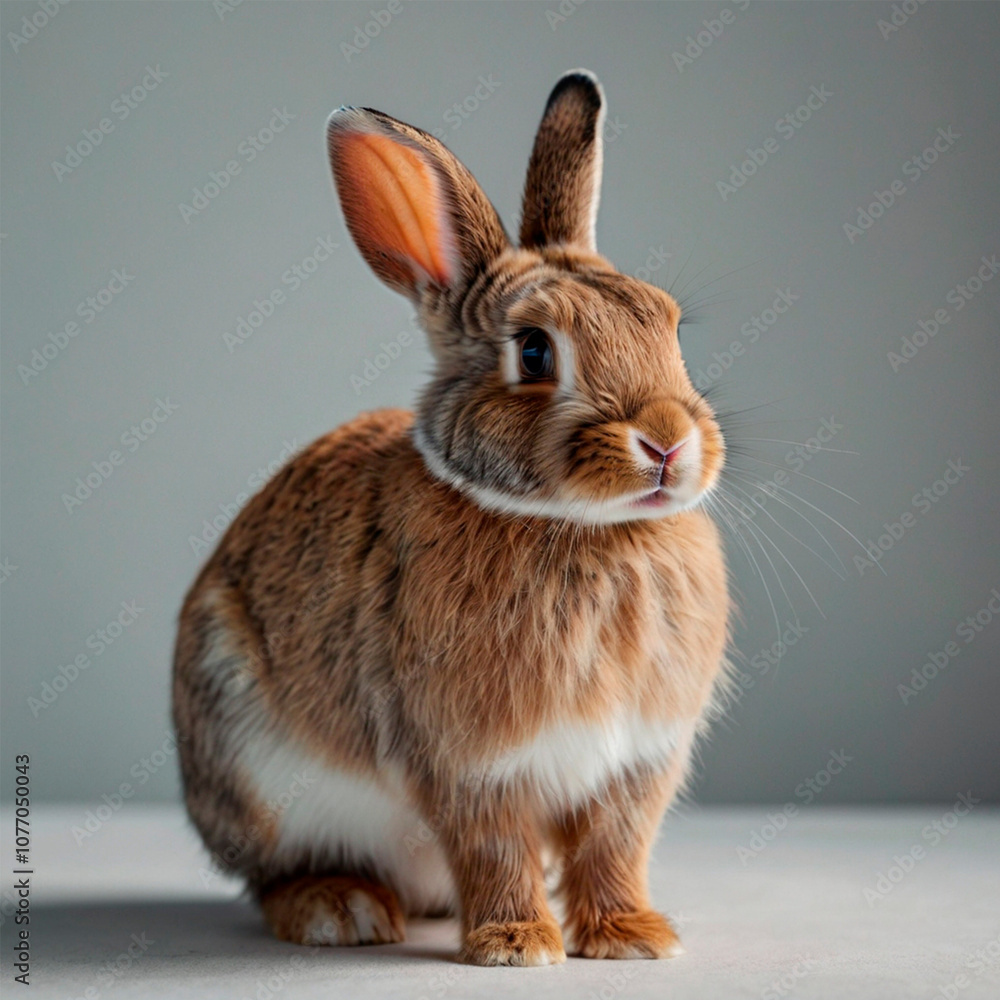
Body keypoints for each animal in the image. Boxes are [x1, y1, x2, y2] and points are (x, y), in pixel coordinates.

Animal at [172, 68, 729, 967]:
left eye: (668, 325)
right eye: (534, 352)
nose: (668, 442)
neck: (581, 526)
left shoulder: (638, 761)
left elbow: (615, 846)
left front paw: (633, 939)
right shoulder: (470, 762)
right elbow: (493, 844)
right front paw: (516, 946)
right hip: (250, 764)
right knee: (273, 875)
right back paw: (342, 911)